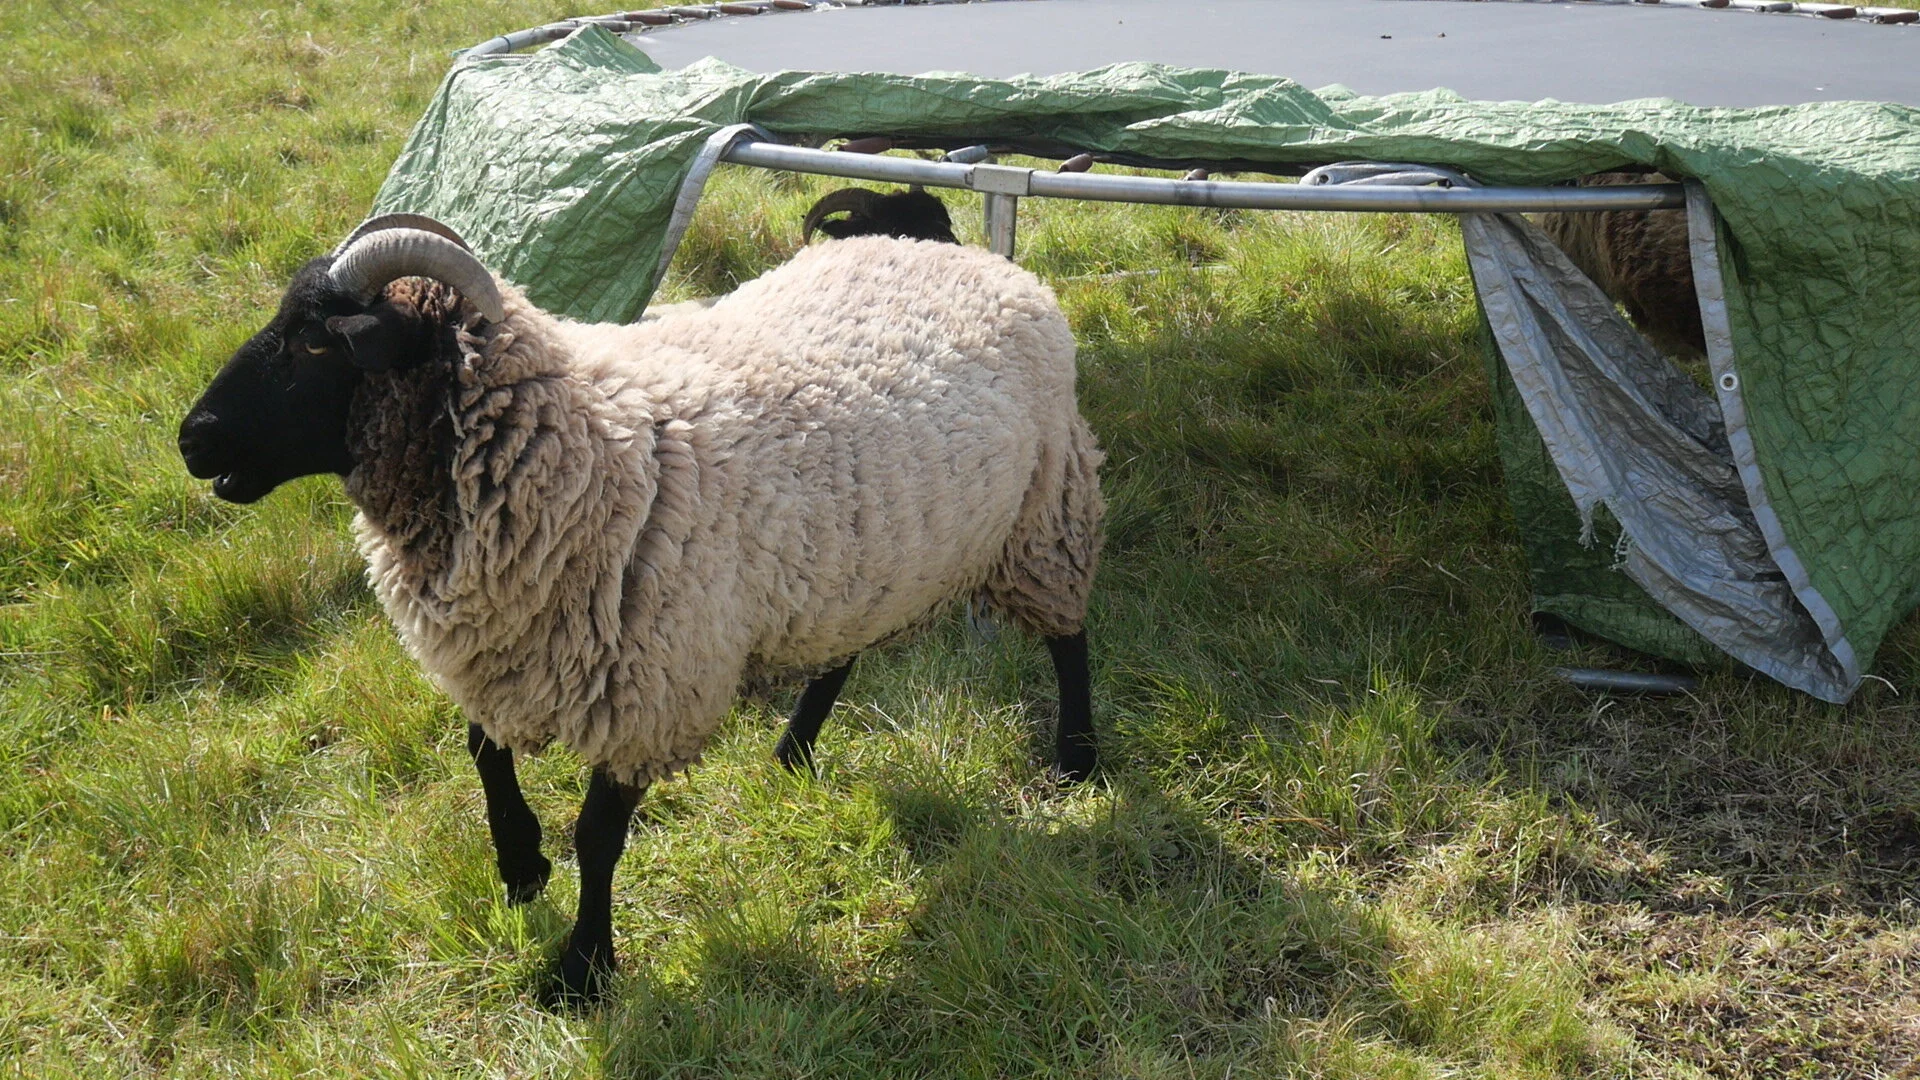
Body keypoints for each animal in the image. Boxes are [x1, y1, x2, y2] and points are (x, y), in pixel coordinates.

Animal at [176, 214, 1105, 1003]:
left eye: (314, 340)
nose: (192, 438)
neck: (574, 443)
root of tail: (974, 258)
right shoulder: (505, 640)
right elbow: (483, 751)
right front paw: (520, 865)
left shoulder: (646, 684)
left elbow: (597, 836)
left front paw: (583, 970)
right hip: (863, 557)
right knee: (842, 651)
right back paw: (793, 751)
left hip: (1044, 509)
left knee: (1070, 638)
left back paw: (1078, 759)